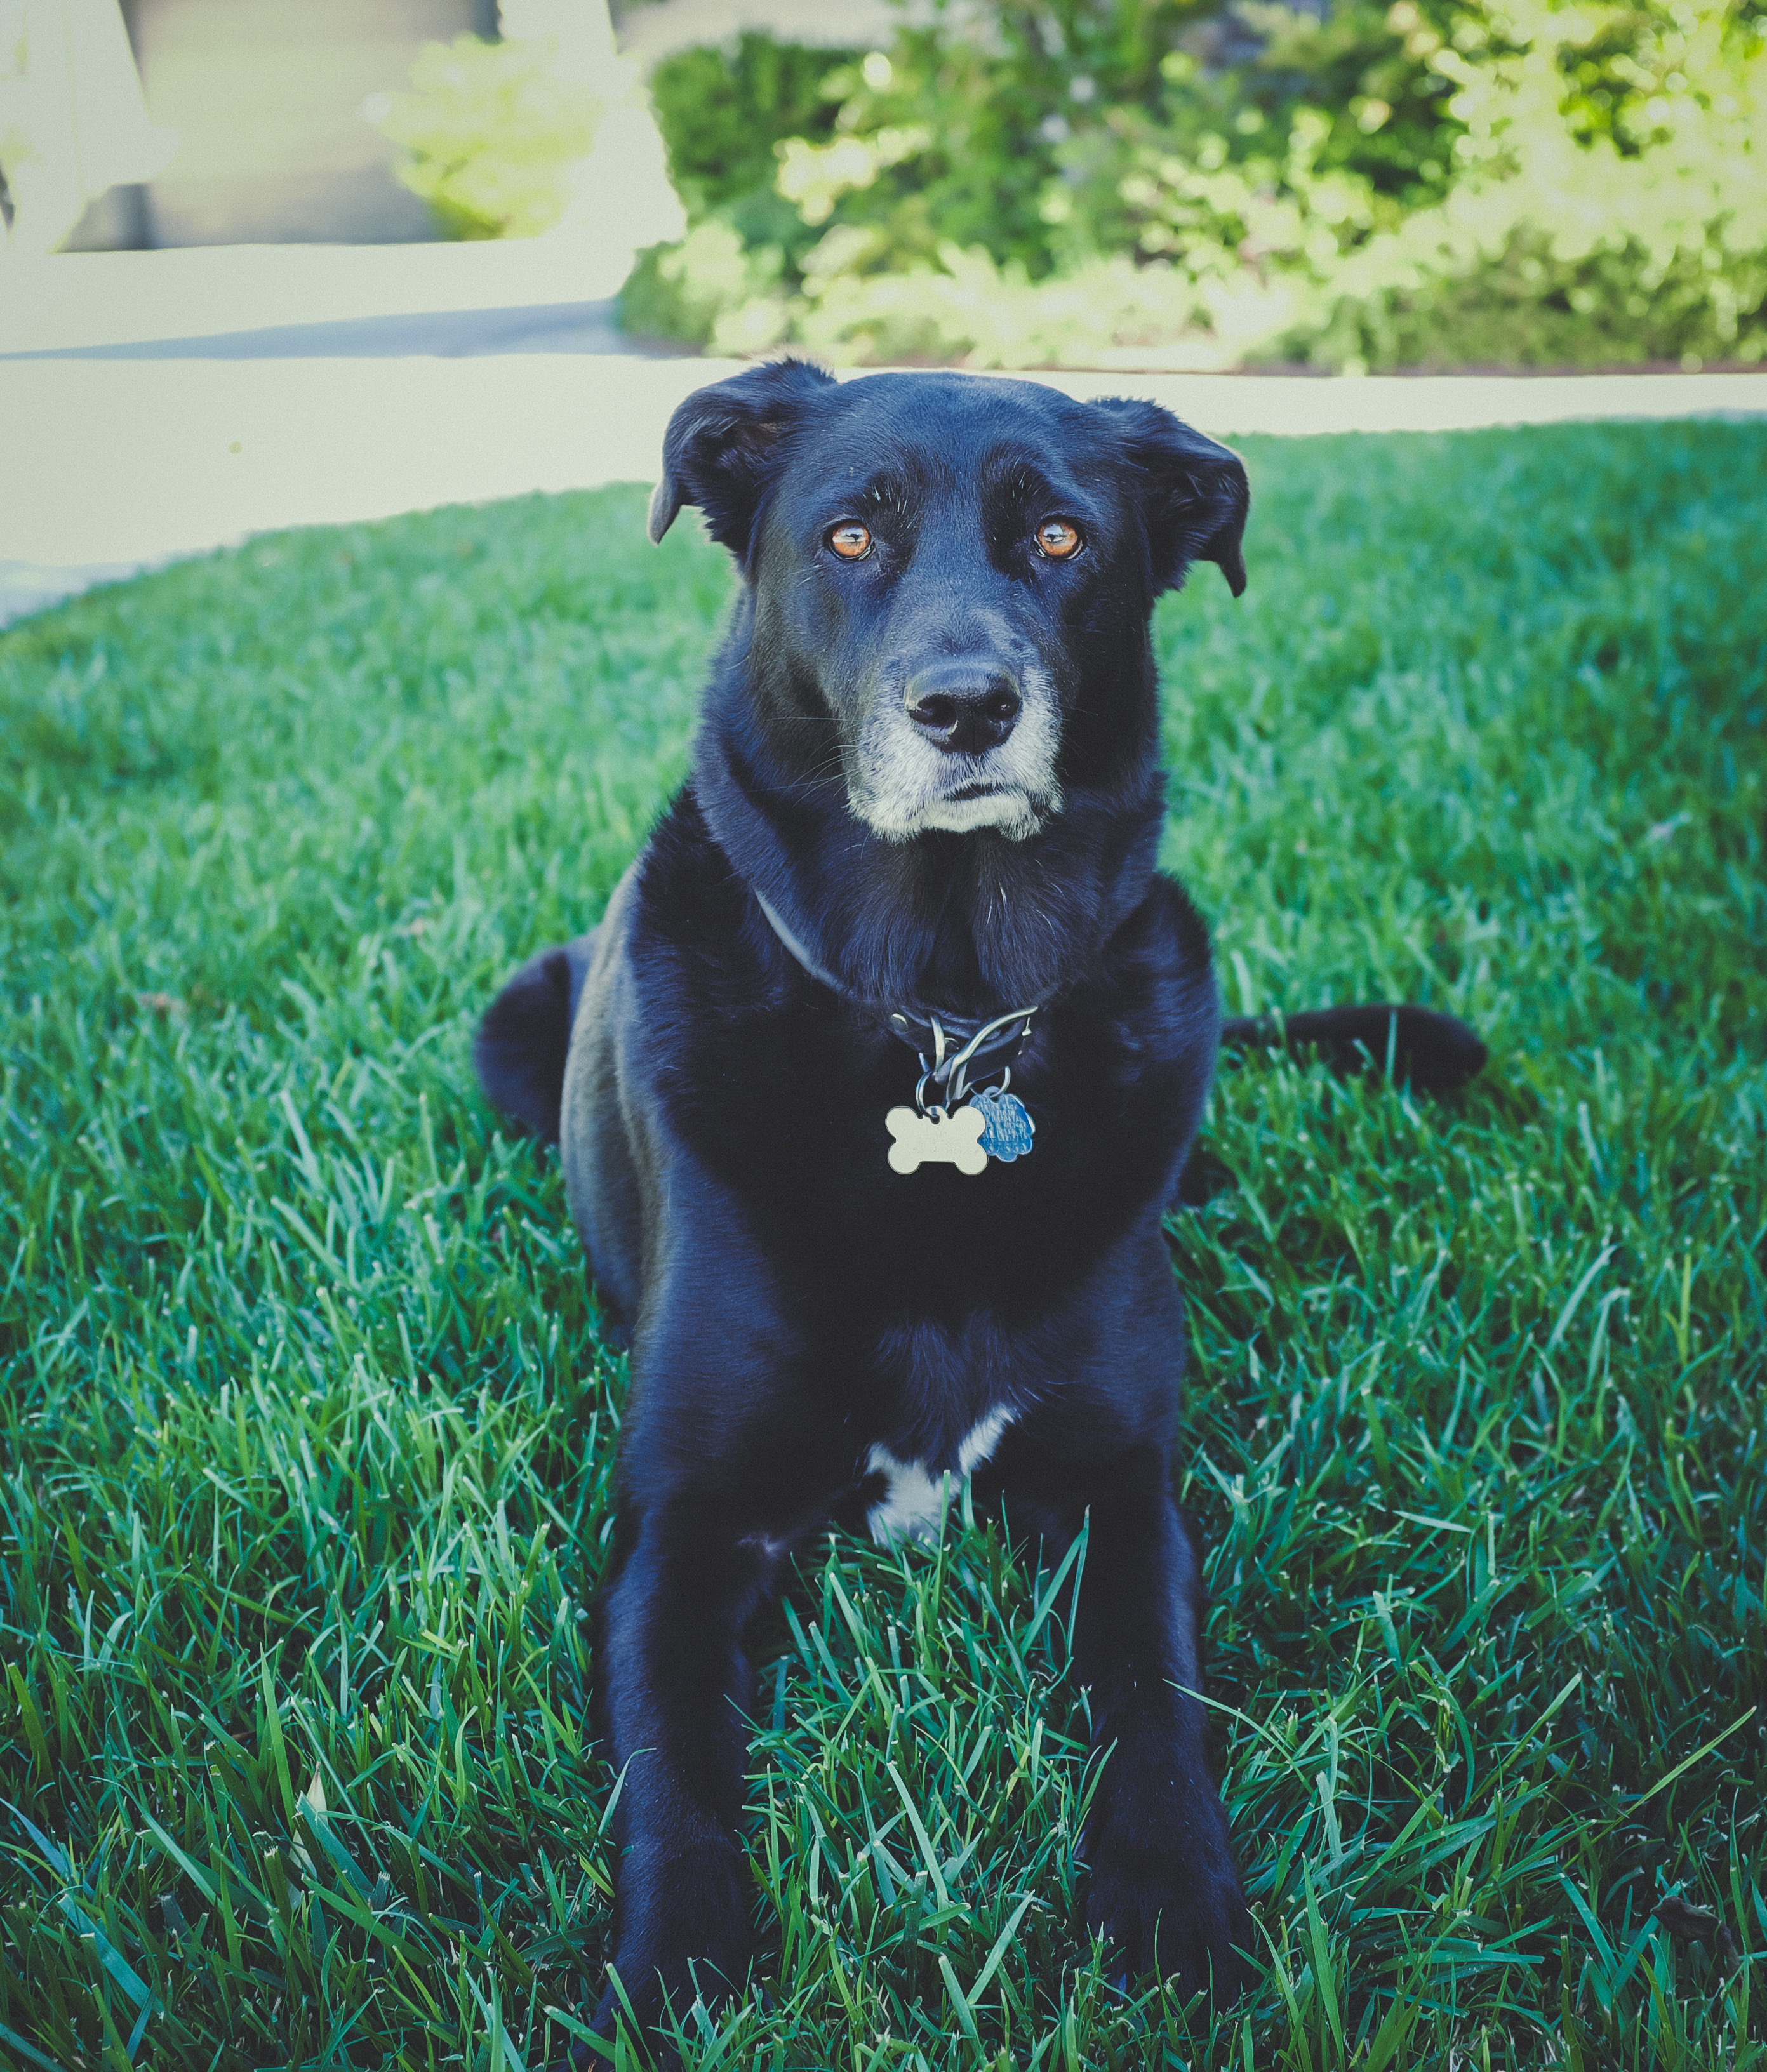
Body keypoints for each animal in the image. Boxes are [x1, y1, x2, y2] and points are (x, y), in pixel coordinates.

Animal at [476, 364, 1483, 2047]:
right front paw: (672, 1969)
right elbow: (673, 1770)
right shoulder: (684, 1523)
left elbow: (1152, 1697)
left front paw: (1175, 1913)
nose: (964, 708)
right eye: (850, 533)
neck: (941, 1017)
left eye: (1061, 537)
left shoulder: (1119, 1487)